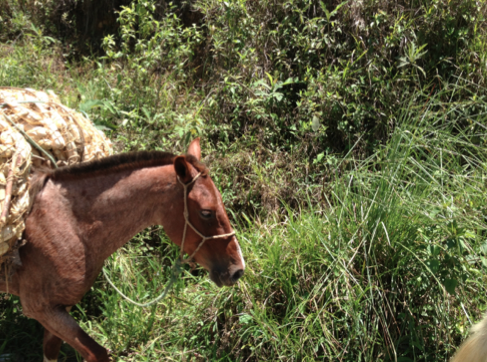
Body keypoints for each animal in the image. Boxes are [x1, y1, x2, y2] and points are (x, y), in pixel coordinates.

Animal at [0, 139, 244, 362]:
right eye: (206, 212)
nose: (238, 269)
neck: (68, 223)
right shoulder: (41, 308)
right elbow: (98, 353)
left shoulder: (60, 307)